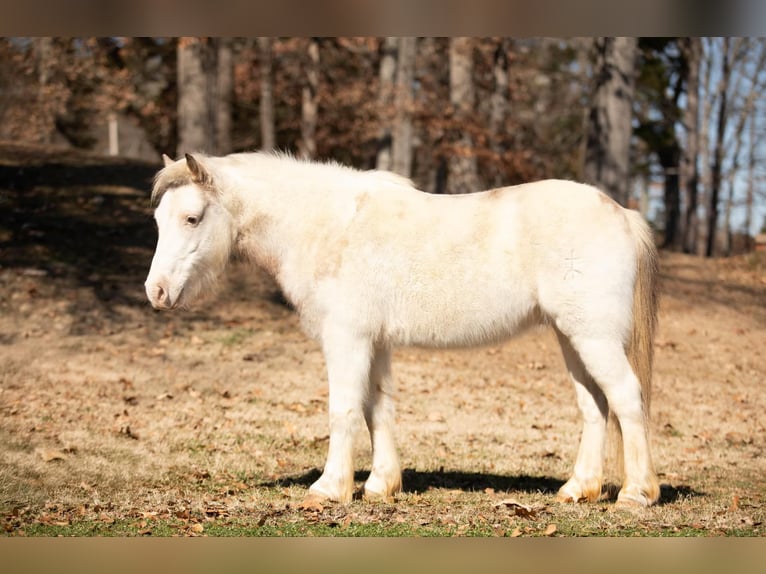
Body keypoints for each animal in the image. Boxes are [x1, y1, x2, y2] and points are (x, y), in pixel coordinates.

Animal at [145, 152, 660, 508]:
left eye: (192, 217)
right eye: (158, 220)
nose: (156, 291)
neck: (327, 225)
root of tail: (624, 214)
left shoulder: (347, 338)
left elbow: (343, 410)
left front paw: (329, 489)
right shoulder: (374, 343)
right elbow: (378, 409)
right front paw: (380, 485)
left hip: (593, 336)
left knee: (625, 398)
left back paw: (636, 494)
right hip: (571, 336)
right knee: (595, 406)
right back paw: (578, 489)